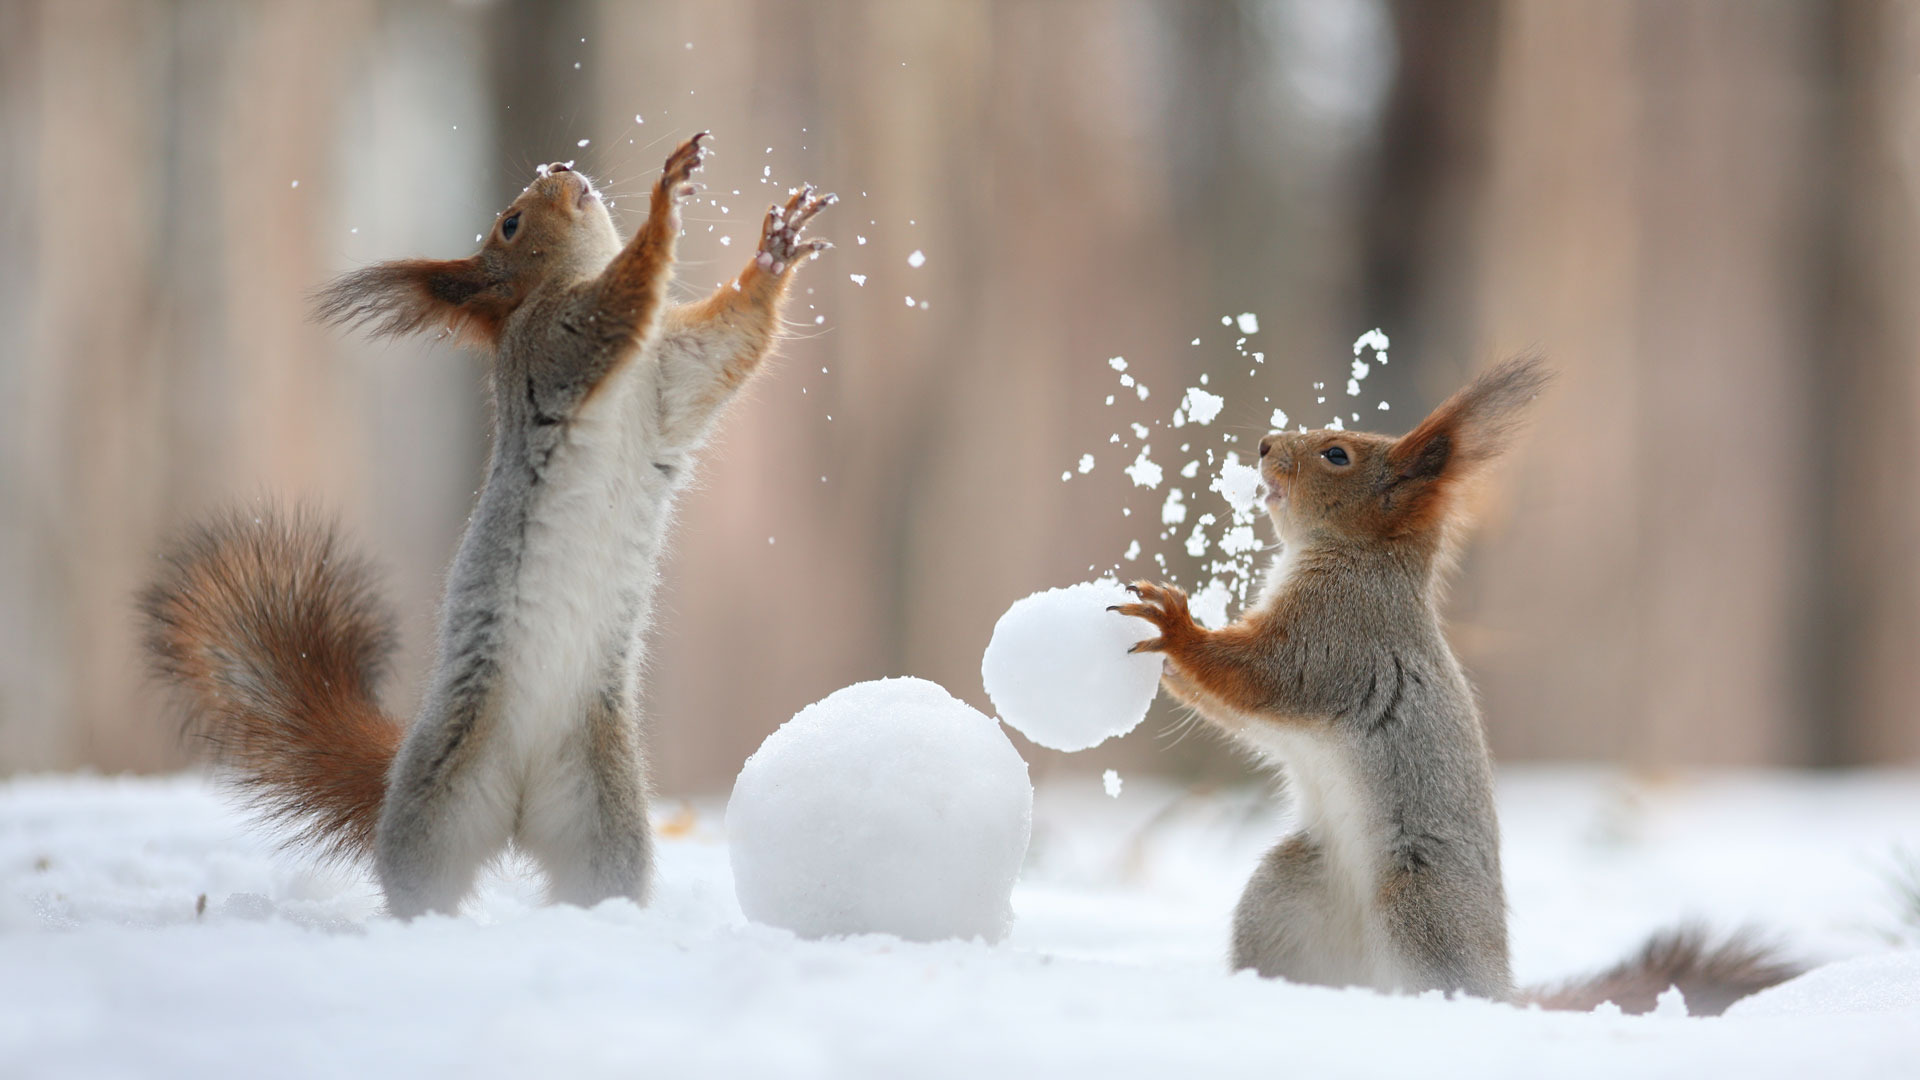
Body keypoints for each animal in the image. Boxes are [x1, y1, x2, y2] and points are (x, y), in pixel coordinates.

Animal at [145, 130, 837, 910]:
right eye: (509, 224)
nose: (559, 167)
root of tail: (520, 804)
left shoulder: (672, 380)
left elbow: (730, 340)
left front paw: (775, 248)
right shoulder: (558, 341)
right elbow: (622, 298)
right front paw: (667, 199)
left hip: (601, 814)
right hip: (442, 799)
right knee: (420, 878)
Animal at [1113, 357, 1797, 1014]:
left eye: (1337, 455)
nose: (1262, 444)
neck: (1366, 557)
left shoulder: (1337, 636)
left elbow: (1262, 676)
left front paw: (1175, 629)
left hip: (1423, 904)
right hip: (1285, 893)